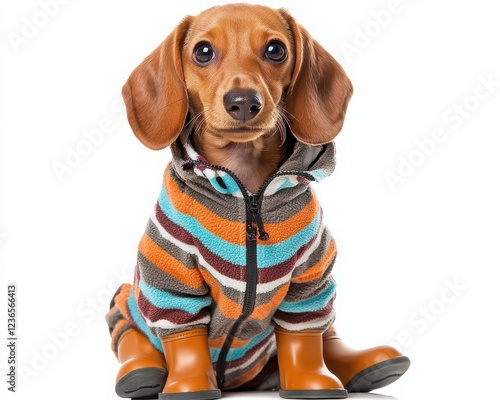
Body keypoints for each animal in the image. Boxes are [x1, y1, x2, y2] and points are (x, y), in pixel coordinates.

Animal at [106, 3, 410, 400]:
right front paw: (189, 382)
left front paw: (310, 379)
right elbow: (184, 340)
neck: (248, 190)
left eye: (275, 50)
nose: (244, 102)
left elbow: (304, 338)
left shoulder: (311, 278)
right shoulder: (170, 277)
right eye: (203, 52)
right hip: (128, 299)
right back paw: (140, 371)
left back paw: (365, 366)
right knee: (126, 328)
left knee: (327, 333)